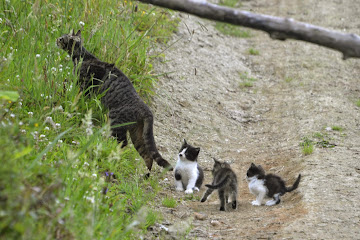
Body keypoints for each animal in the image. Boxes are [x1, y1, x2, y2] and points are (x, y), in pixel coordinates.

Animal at [56, 30, 173, 172]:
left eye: (62, 39)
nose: (57, 39)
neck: (82, 57)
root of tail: (148, 111)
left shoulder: (85, 85)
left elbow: (75, 93)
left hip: (116, 121)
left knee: (123, 143)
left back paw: (110, 152)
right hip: (137, 134)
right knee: (147, 155)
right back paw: (144, 174)